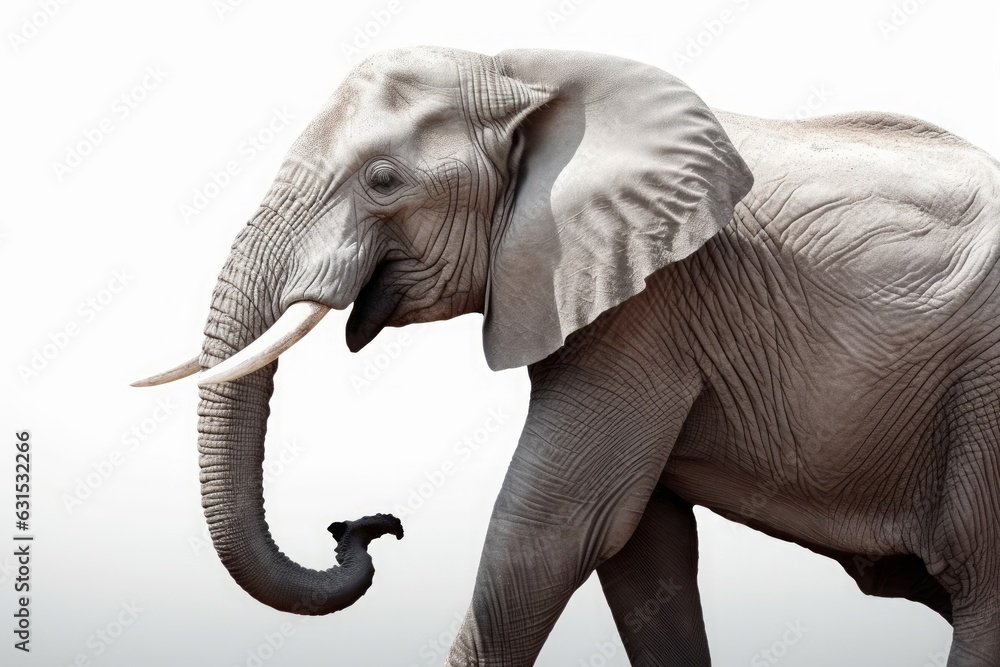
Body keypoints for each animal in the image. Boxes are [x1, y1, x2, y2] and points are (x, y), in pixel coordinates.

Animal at [134, 46, 1000, 666]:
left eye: (382, 180)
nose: (369, 524)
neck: (527, 77)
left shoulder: (647, 308)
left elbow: (547, 533)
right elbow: (642, 550)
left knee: (979, 581)